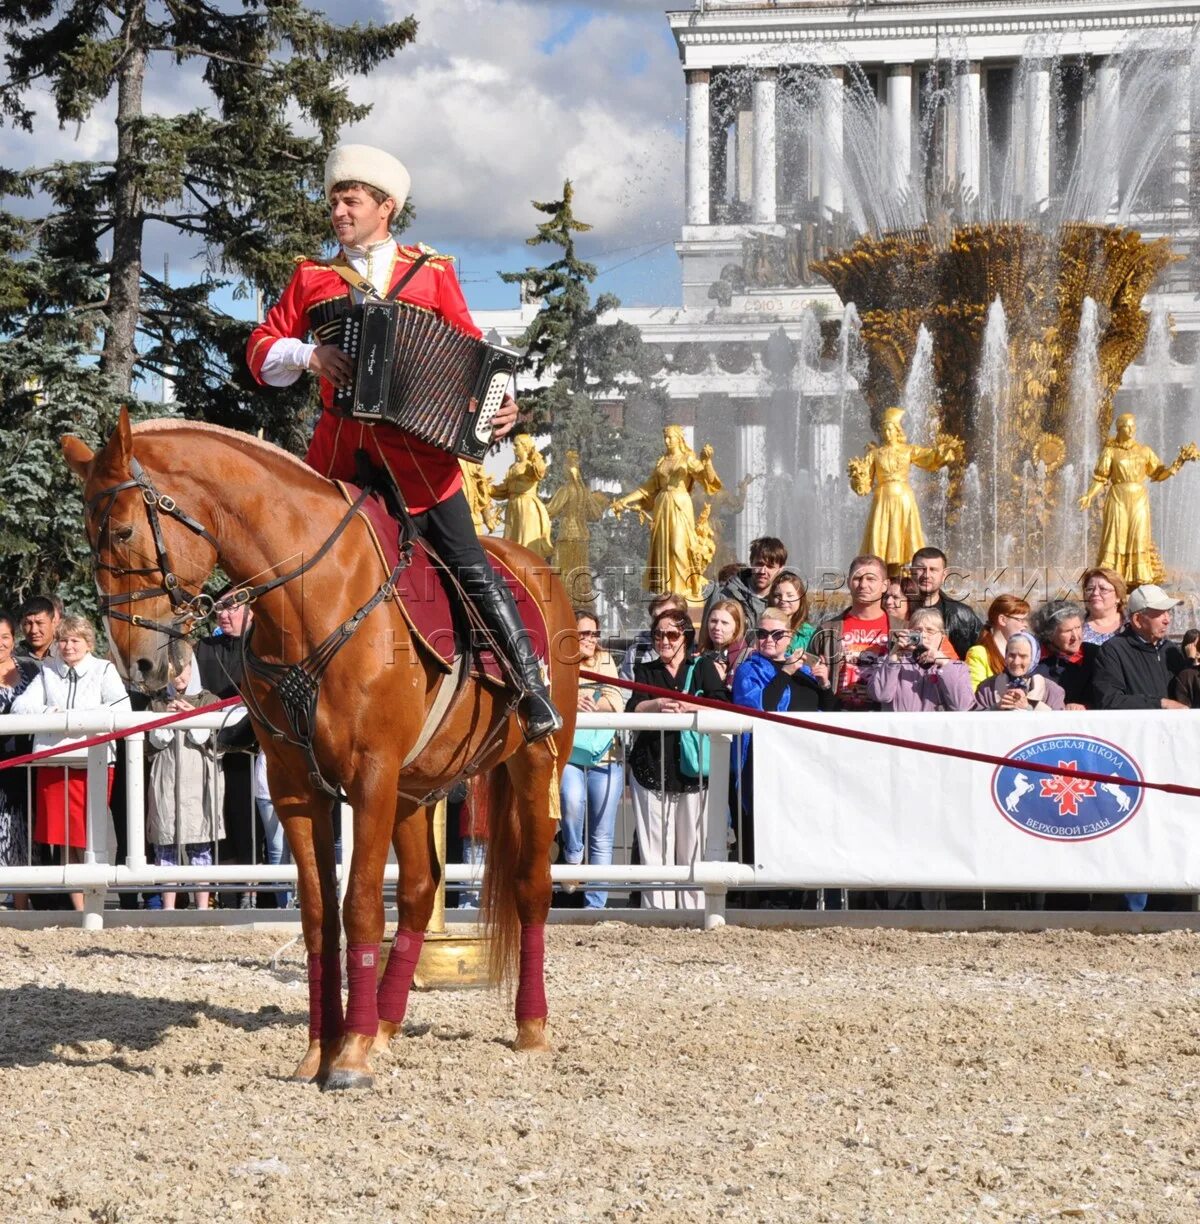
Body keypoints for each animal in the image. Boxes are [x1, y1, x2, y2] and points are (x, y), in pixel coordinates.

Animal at [63, 411, 577, 1091]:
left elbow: (359, 906)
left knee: (530, 887)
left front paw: (350, 1054)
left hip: (534, 764)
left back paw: (530, 1027)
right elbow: (316, 915)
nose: (137, 665)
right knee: (420, 891)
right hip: (414, 788)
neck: (312, 594)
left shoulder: (370, 778)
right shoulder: (296, 789)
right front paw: (322, 1048)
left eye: (122, 531)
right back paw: (385, 1022)